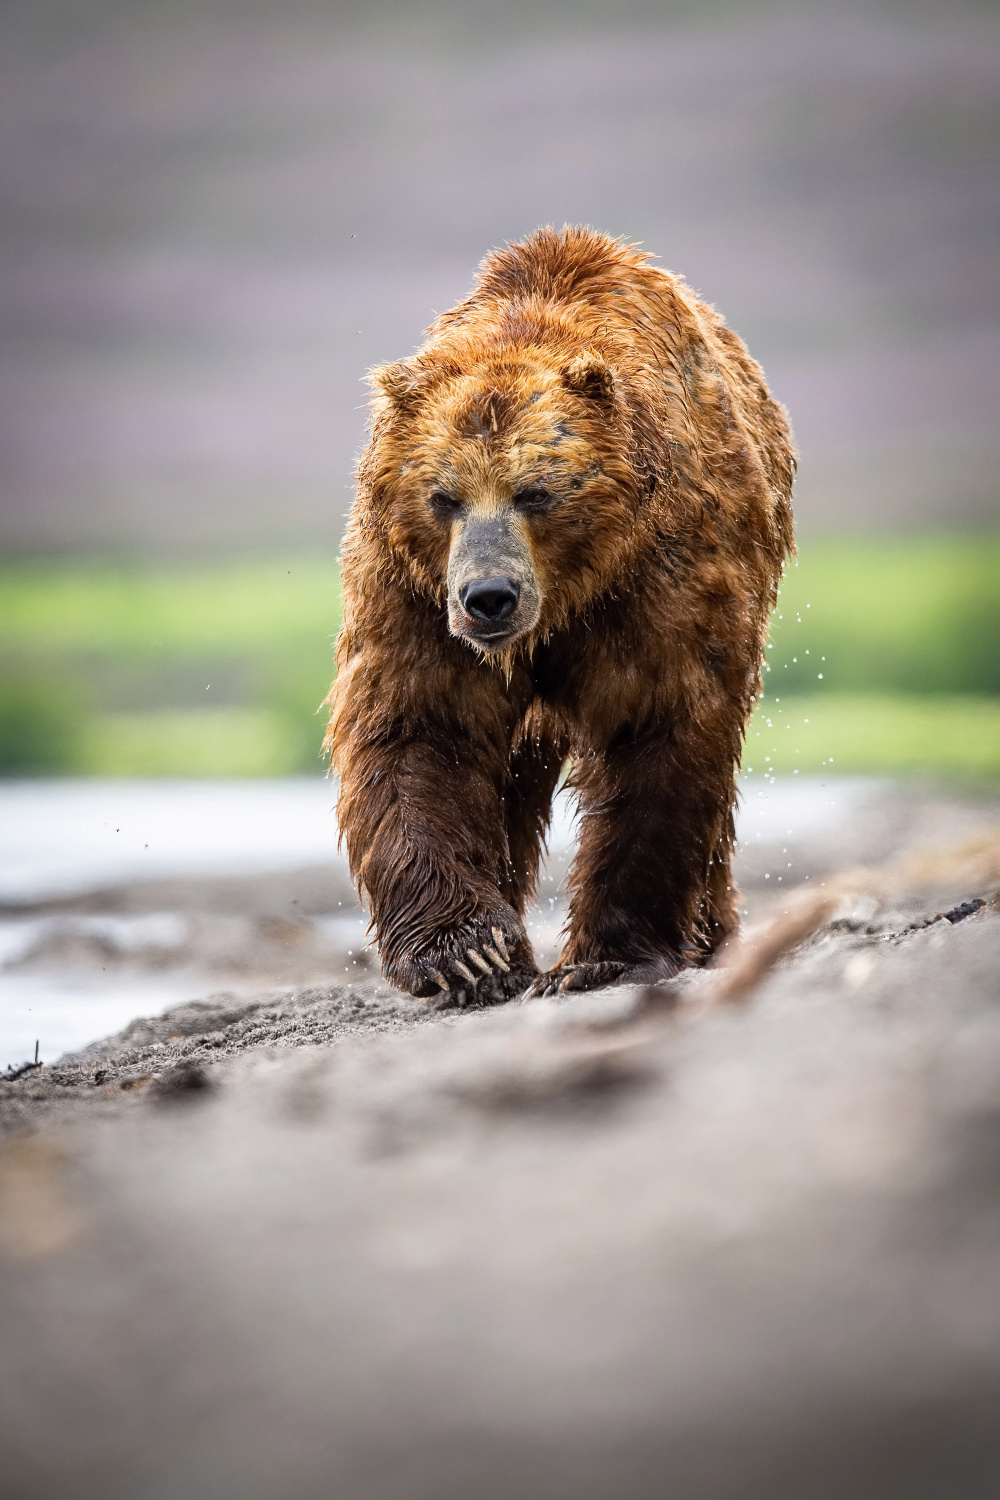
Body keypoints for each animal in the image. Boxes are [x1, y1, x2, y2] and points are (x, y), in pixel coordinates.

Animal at [328, 225, 797, 1008]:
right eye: (443, 497)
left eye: (535, 492)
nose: (489, 597)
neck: (567, 596)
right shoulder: (413, 591)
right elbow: (419, 725)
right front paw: (467, 954)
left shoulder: (659, 576)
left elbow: (658, 727)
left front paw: (603, 958)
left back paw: (709, 934)